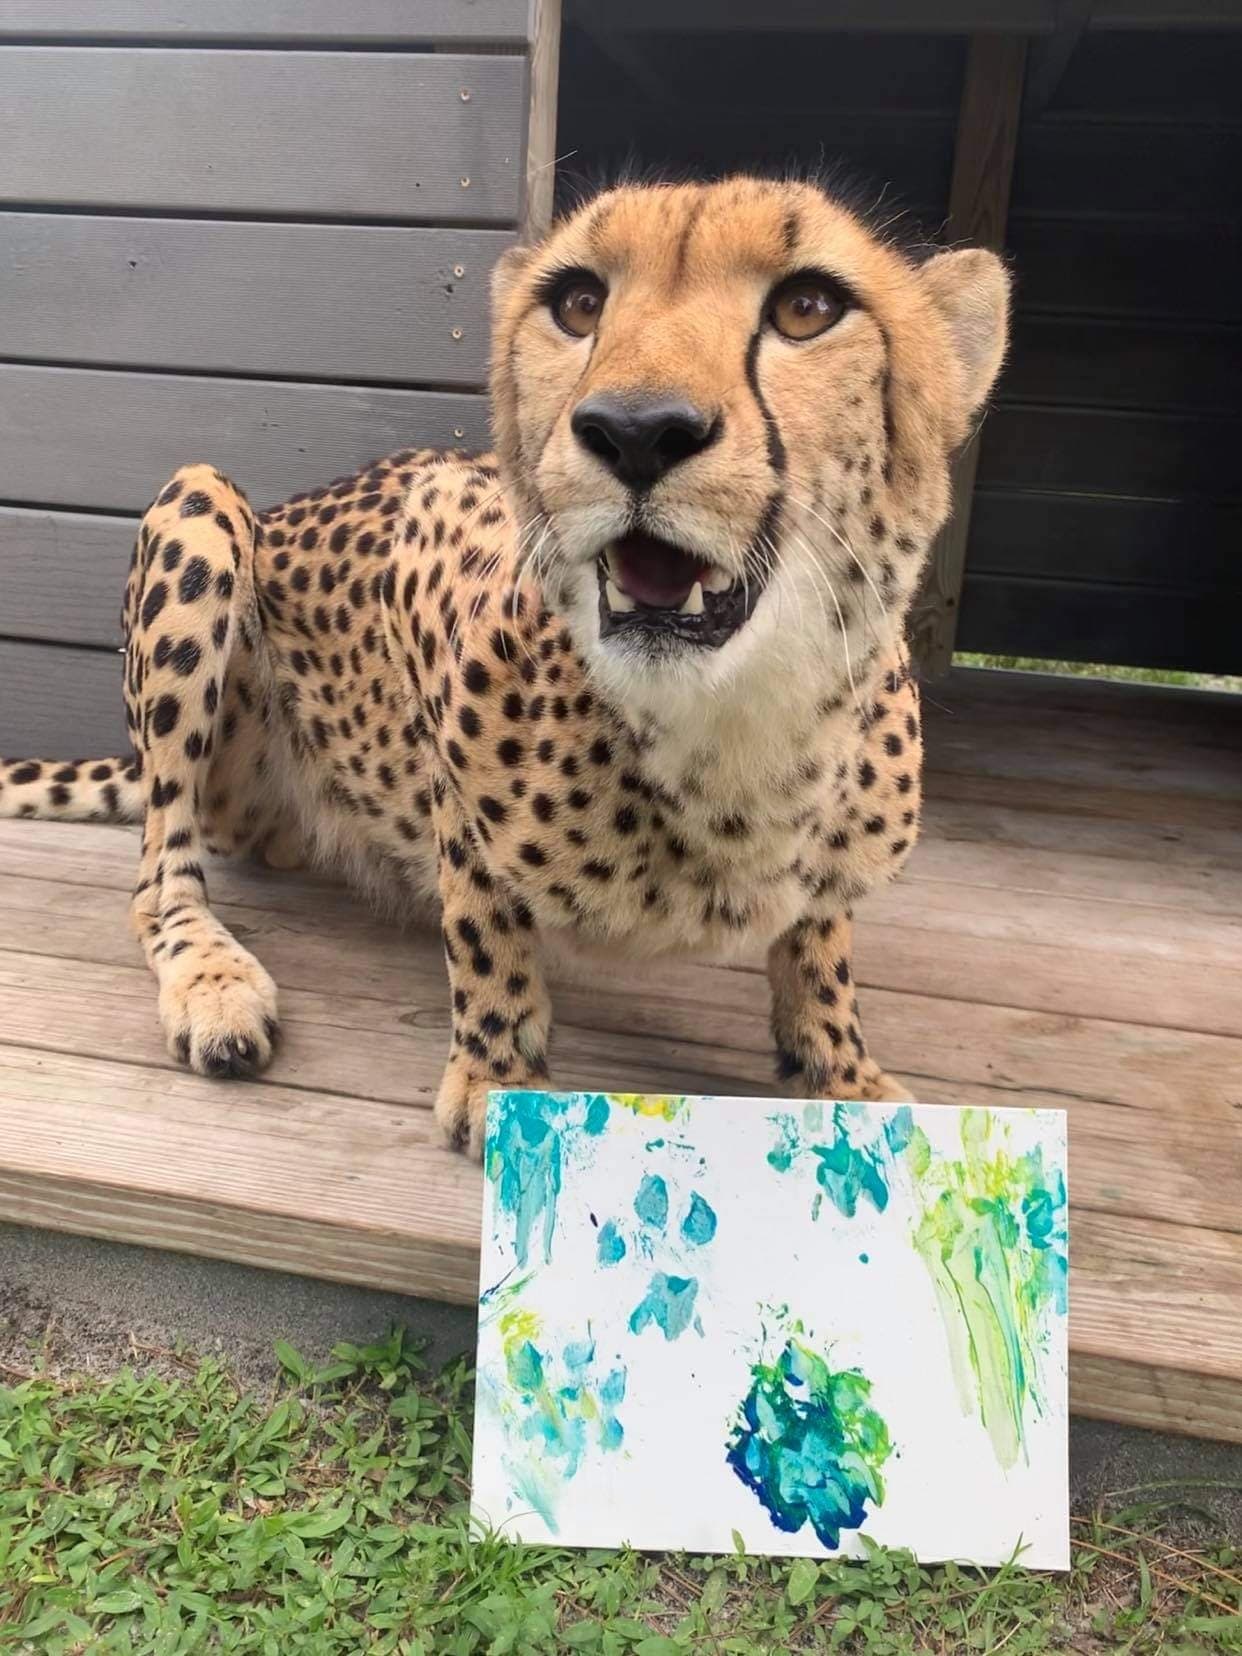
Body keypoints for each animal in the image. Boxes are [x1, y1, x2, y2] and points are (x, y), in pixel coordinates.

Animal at [0, 175, 1009, 1159]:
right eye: (579, 302)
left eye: (808, 308)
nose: (636, 429)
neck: (735, 726)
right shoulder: (432, 525)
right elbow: (481, 904)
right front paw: (499, 1074)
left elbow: (821, 939)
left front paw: (840, 1068)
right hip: (199, 509)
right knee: (158, 874)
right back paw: (214, 983)